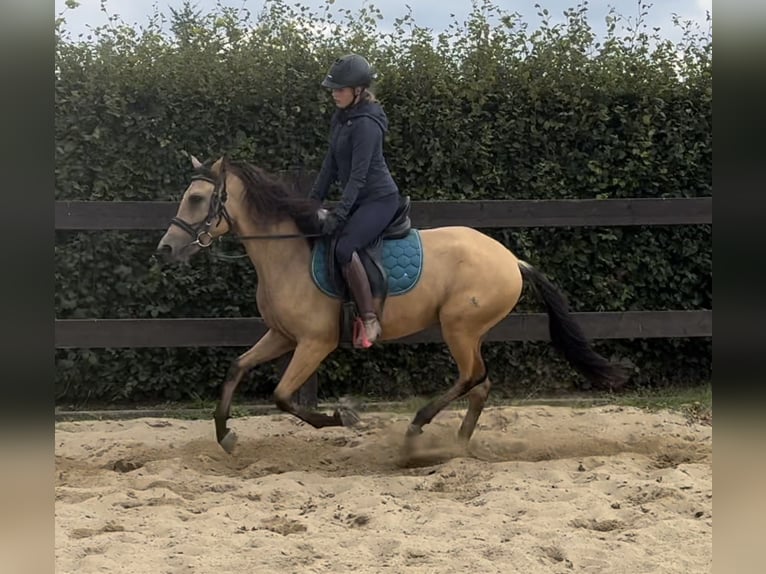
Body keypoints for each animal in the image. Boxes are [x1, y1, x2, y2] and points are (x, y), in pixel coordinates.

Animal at [156, 156, 632, 454]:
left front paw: (344, 416)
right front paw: (225, 435)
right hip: (468, 331)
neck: (287, 252)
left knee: (472, 377)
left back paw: (417, 429)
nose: (165, 250)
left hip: (459, 328)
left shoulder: (314, 343)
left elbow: (282, 397)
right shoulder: (282, 336)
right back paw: (456, 446)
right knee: (481, 385)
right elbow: (236, 369)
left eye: (196, 199)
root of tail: (512, 260)